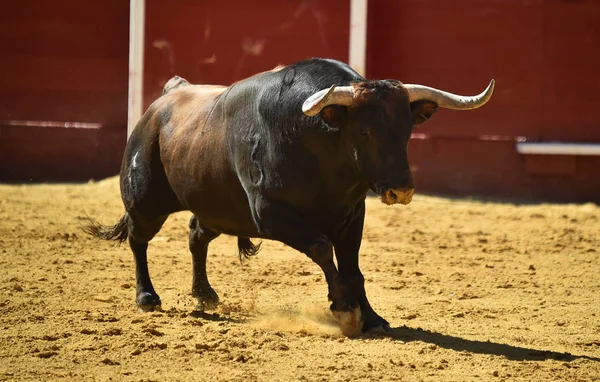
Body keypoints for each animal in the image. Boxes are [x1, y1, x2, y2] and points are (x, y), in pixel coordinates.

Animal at [85, 56, 492, 334]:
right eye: (364, 131)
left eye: (407, 130)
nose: (400, 189)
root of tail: (166, 99)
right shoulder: (270, 212)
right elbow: (322, 248)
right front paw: (344, 309)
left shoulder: (352, 214)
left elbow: (352, 266)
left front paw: (372, 317)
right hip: (146, 201)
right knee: (139, 239)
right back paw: (146, 297)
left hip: (218, 209)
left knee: (196, 236)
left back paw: (205, 293)